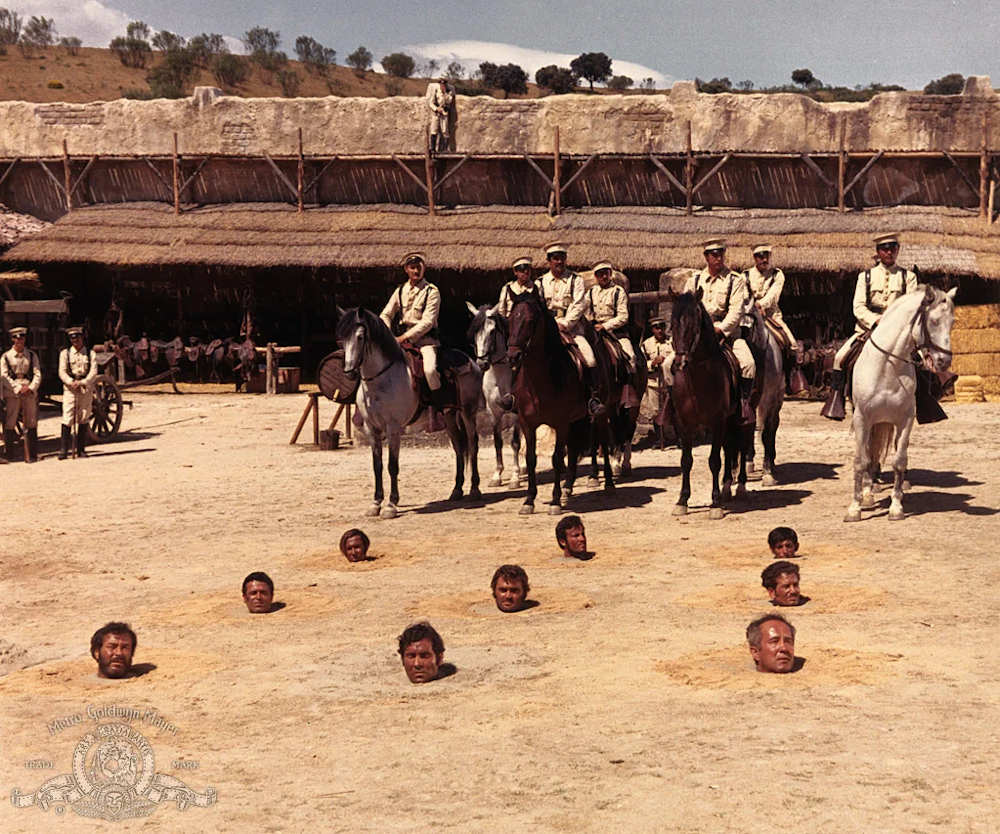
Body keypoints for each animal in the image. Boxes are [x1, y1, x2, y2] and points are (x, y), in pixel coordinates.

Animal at [336, 307, 483, 519]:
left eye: (360, 337)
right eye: (341, 338)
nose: (348, 372)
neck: (380, 380)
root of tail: (471, 360)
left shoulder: (393, 428)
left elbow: (392, 465)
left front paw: (391, 505)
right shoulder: (371, 429)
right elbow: (377, 465)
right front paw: (375, 503)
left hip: (468, 413)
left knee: (472, 445)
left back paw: (474, 490)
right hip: (448, 416)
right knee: (458, 446)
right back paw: (456, 490)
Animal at [466, 302, 523, 489]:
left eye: (492, 331)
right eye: (475, 332)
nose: (482, 363)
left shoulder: (517, 413)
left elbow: (514, 442)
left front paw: (514, 477)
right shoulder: (494, 412)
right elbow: (498, 442)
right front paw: (497, 476)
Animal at [505, 289, 601, 515]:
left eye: (530, 321)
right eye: (510, 320)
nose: (513, 356)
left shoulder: (561, 423)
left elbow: (557, 459)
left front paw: (556, 501)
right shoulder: (527, 424)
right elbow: (531, 458)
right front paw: (529, 501)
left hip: (595, 416)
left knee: (593, 443)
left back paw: (598, 480)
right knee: (574, 450)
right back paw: (568, 487)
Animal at [667, 289, 749, 519]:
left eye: (693, 325)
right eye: (673, 324)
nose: (679, 363)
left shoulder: (717, 421)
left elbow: (714, 461)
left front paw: (715, 504)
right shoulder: (684, 424)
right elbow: (686, 461)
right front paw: (682, 501)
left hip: (741, 419)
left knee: (742, 445)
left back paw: (739, 486)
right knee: (730, 448)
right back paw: (727, 487)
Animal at [844, 285, 957, 522]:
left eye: (952, 322)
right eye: (934, 321)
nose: (944, 361)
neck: (888, 367)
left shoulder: (905, 420)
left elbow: (899, 461)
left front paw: (896, 507)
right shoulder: (862, 419)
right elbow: (861, 460)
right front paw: (854, 508)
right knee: (868, 454)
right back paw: (867, 493)